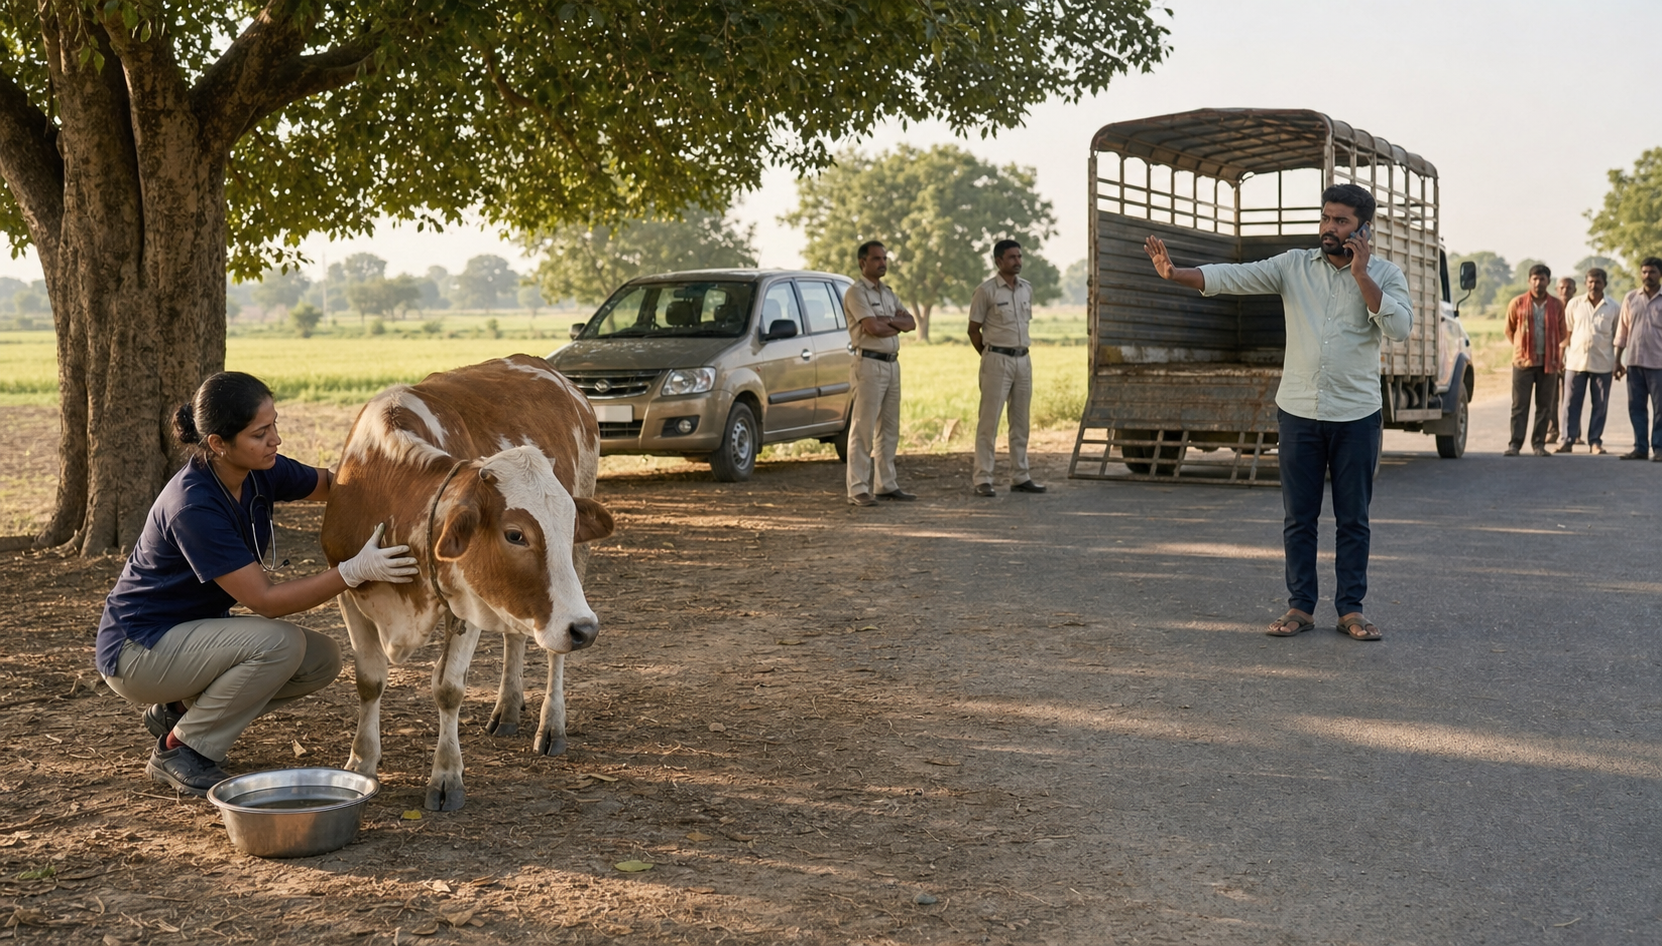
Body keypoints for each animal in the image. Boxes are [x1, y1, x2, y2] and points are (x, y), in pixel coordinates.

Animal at [320, 355, 614, 811]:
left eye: (569, 527)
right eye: (515, 534)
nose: (586, 628)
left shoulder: (467, 604)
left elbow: (448, 687)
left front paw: (446, 776)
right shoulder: (349, 593)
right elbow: (369, 681)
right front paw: (361, 762)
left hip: (573, 573)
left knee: (554, 652)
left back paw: (551, 724)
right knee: (516, 634)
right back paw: (508, 707)